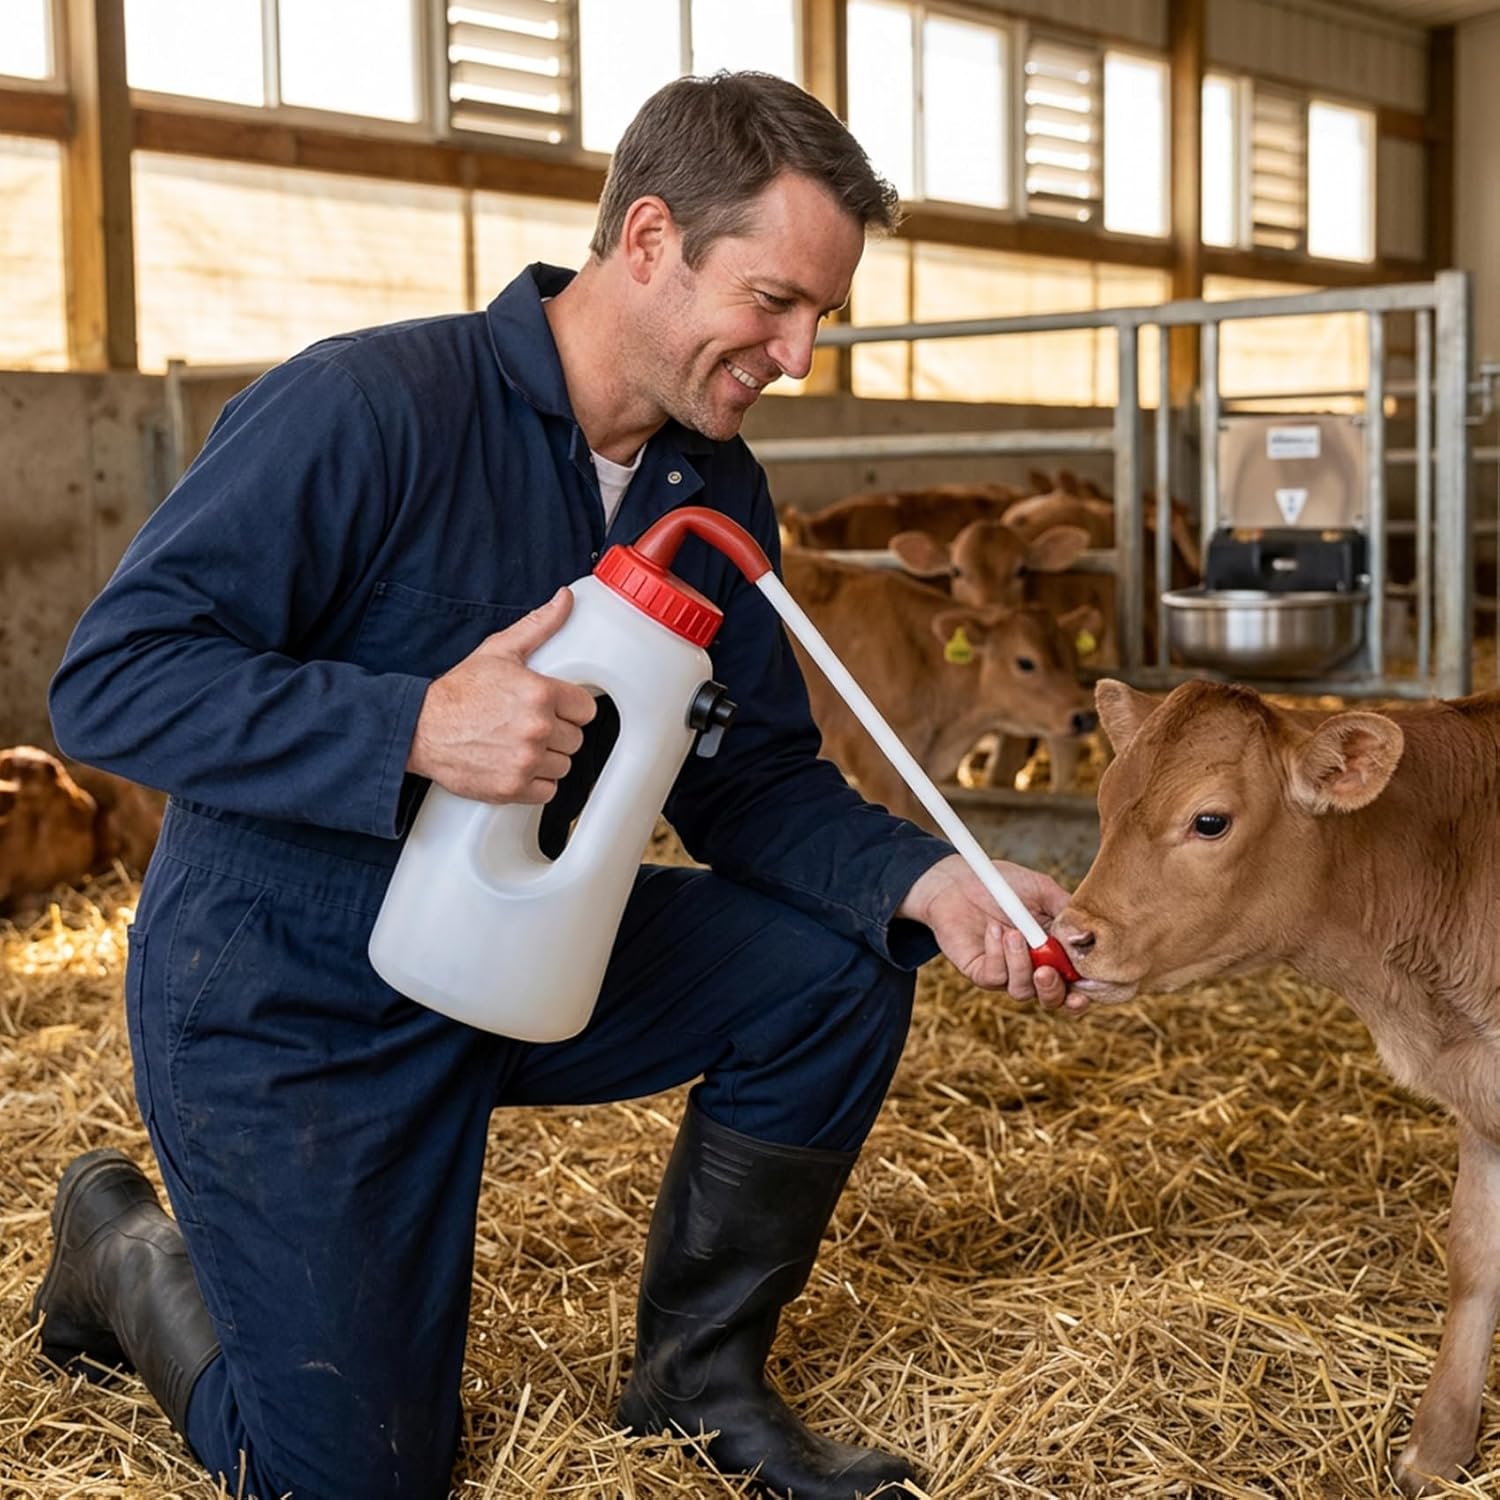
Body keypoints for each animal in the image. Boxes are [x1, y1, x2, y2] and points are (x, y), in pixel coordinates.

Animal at [1049, 678, 1500, 1496]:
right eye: (1104, 797)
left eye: (1209, 821)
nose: (1072, 935)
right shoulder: (1481, 1100)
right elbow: (1474, 1258)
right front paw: (1439, 1448)